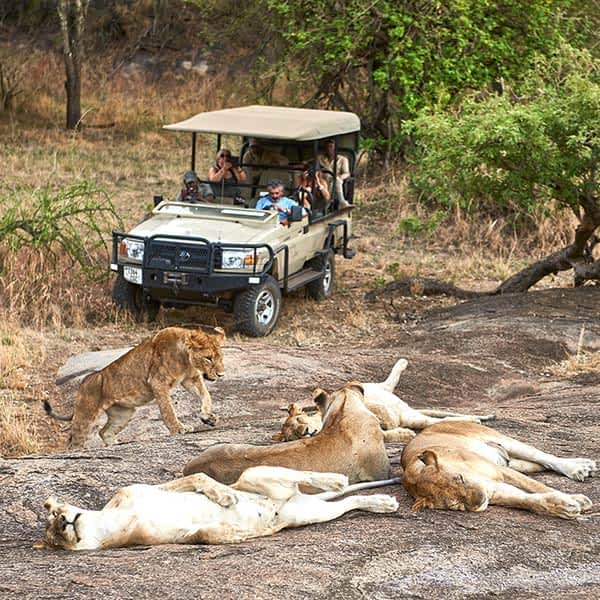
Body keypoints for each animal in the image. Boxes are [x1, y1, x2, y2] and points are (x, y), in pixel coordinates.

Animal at [42, 326, 225, 448]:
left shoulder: (191, 379)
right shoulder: (158, 382)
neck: (185, 359)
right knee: (74, 440)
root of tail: (83, 383)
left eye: (220, 358)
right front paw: (178, 428)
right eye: (208, 358)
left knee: (103, 432)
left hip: (122, 414)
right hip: (85, 415)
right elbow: (168, 409)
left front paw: (207, 417)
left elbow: (206, 395)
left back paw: (114, 445)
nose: (221, 374)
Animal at [274, 358, 494, 442]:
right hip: (414, 416)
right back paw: (477, 419)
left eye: (300, 420)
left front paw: (387, 420)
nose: (305, 432)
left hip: (386, 393)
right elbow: (389, 433)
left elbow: (376, 406)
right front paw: (401, 432)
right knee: (437, 420)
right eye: (294, 436)